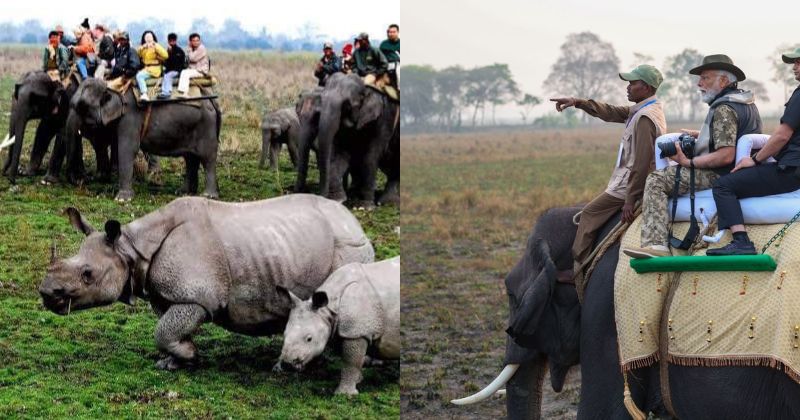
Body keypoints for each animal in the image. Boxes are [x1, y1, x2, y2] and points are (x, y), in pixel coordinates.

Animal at [37, 194, 376, 370]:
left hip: (347, 248)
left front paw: (190, 357)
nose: (46, 293)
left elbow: (164, 331)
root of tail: (355, 222)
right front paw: (171, 362)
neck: (130, 248)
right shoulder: (167, 294)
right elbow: (167, 328)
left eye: (88, 274)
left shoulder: (198, 298)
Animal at [65, 81, 222, 203]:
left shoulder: (130, 116)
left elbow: (127, 148)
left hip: (206, 127)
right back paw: (184, 193)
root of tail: (213, 100)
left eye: (82, 106)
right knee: (191, 158)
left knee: (207, 158)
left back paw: (208, 196)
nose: (82, 180)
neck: (112, 86)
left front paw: (122, 199)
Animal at [276, 254, 398, 396]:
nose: (287, 364)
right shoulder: (344, 329)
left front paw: (345, 394)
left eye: (309, 339)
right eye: (284, 334)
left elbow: (350, 361)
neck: (328, 309)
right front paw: (358, 380)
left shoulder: (355, 332)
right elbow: (352, 360)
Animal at [296, 74, 398, 209]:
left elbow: (371, 155)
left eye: (346, 105)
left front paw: (365, 207)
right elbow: (340, 154)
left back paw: (385, 202)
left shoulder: (385, 117)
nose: (321, 197)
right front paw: (338, 200)